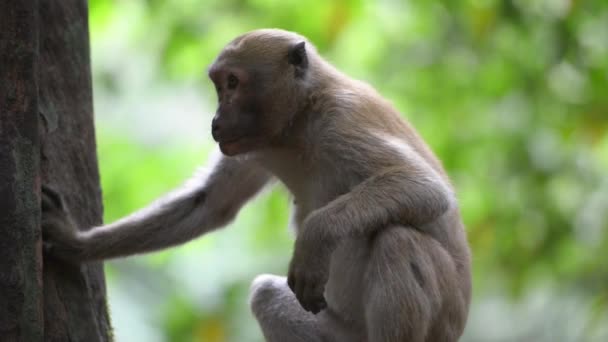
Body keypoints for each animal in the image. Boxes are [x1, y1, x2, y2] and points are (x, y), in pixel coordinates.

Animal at [41, 28, 470, 342]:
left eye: (233, 82)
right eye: (219, 85)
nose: (216, 120)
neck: (299, 120)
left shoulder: (343, 122)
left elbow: (425, 187)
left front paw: (316, 235)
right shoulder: (255, 146)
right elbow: (210, 204)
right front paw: (72, 241)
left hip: (439, 323)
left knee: (399, 239)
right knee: (266, 294)